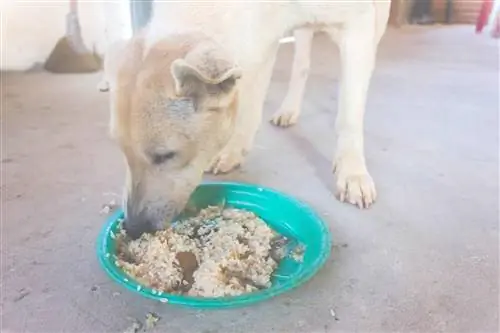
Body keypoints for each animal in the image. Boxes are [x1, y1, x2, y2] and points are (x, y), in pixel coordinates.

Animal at [100, 1, 390, 237]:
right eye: (123, 152)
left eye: (165, 156)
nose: (132, 228)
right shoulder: (263, 40)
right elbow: (251, 100)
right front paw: (233, 151)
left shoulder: (358, 21)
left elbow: (350, 110)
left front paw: (352, 172)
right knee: (302, 61)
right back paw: (288, 109)